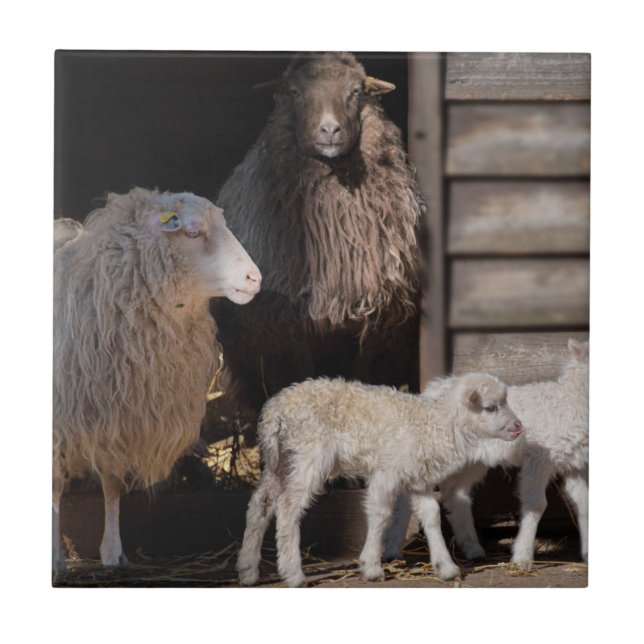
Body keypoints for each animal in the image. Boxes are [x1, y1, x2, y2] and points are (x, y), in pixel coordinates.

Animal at [53, 187, 261, 572]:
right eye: (192, 232)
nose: (255, 279)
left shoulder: (121, 415)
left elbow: (112, 484)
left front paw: (113, 552)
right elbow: (55, 486)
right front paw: (55, 558)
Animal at [213, 51, 424, 409]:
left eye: (356, 91)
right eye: (295, 92)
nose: (329, 129)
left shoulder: (379, 313)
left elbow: (362, 371)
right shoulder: (285, 321)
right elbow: (297, 373)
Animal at [236, 373, 524, 587]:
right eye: (490, 408)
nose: (519, 427)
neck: (432, 424)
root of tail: (276, 409)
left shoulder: (417, 478)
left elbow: (431, 515)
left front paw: (446, 567)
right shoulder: (386, 471)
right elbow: (380, 514)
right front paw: (372, 566)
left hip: (280, 460)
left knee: (260, 503)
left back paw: (248, 570)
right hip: (309, 454)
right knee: (288, 507)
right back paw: (294, 574)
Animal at [393, 339, 589, 569]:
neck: (569, 400)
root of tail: (430, 390)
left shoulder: (574, 462)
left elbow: (584, 502)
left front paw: (587, 553)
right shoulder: (538, 458)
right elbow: (536, 504)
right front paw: (522, 557)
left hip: (472, 461)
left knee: (455, 494)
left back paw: (472, 548)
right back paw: (393, 549)